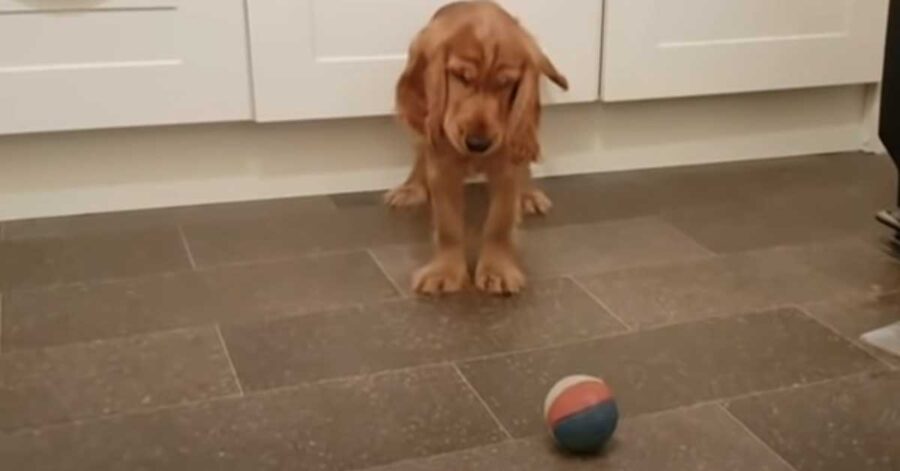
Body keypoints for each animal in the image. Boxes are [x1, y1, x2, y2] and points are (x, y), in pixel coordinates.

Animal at [384, 0, 568, 296]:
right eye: (461, 77)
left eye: (506, 83)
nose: (478, 144)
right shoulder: (443, 164)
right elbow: (448, 224)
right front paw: (444, 271)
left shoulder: (506, 163)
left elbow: (498, 222)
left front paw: (497, 270)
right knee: (419, 151)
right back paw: (411, 188)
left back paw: (528, 195)